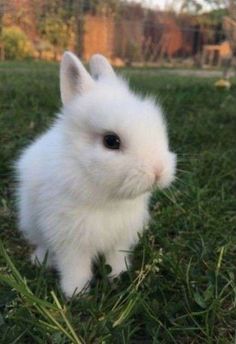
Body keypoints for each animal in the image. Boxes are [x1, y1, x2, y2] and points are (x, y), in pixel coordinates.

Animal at [15, 52, 176, 296]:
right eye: (111, 141)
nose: (158, 171)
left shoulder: (121, 238)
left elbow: (116, 259)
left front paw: (118, 276)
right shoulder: (70, 241)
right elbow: (75, 268)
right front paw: (76, 293)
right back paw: (40, 261)